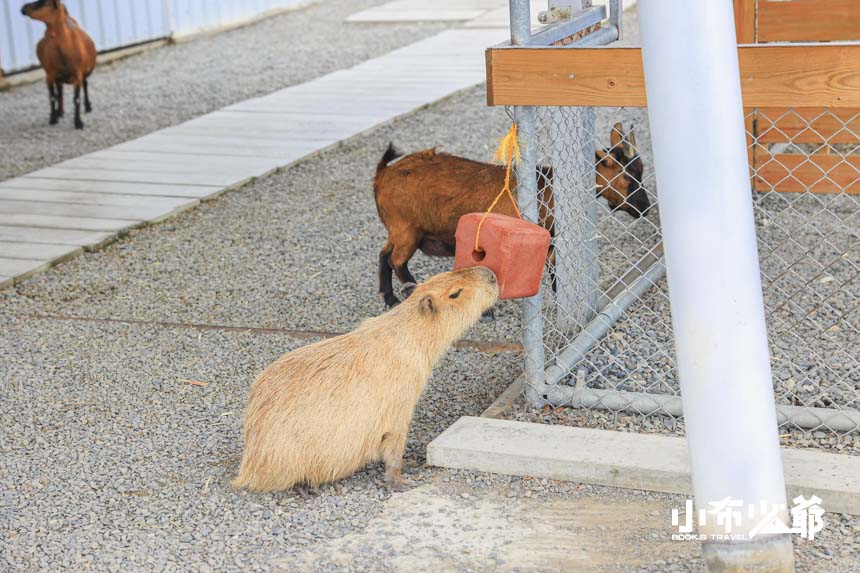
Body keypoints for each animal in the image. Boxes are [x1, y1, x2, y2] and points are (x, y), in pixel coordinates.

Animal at [21, 0, 95, 128]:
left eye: (42, 3)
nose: (23, 7)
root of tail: (68, 16)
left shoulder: (78, 75)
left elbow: (76, 99)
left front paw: (78, 122)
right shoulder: (50, 75)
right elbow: (52, 96)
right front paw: (53, 118)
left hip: (83, 72)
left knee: (84, 84)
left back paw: (87, 107)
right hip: (57, 75)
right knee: (59, 90)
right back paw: (59, 112)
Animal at [372, 123, 648, 306]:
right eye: (628, 176)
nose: (644, 207)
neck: (547, 187)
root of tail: (382, 174)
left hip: (398, 229)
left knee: (384, 255)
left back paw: (390, 298)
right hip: (407, 228)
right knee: (397, 261)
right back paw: (411, 294)